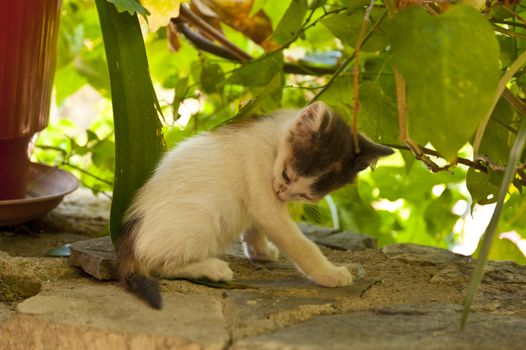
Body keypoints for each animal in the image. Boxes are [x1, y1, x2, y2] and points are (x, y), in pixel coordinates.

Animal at [116, 102, 396, 308]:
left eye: (307, 196)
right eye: (286, 175)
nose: (282, 193)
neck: (274, 138)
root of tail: (128, 244)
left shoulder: (258, 199)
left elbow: (254, 225)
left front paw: (260, 251)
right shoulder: (261, 180)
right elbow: (301, 244)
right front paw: (329, 273)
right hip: (201, 218)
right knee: (158, 265)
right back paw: (212, 268)